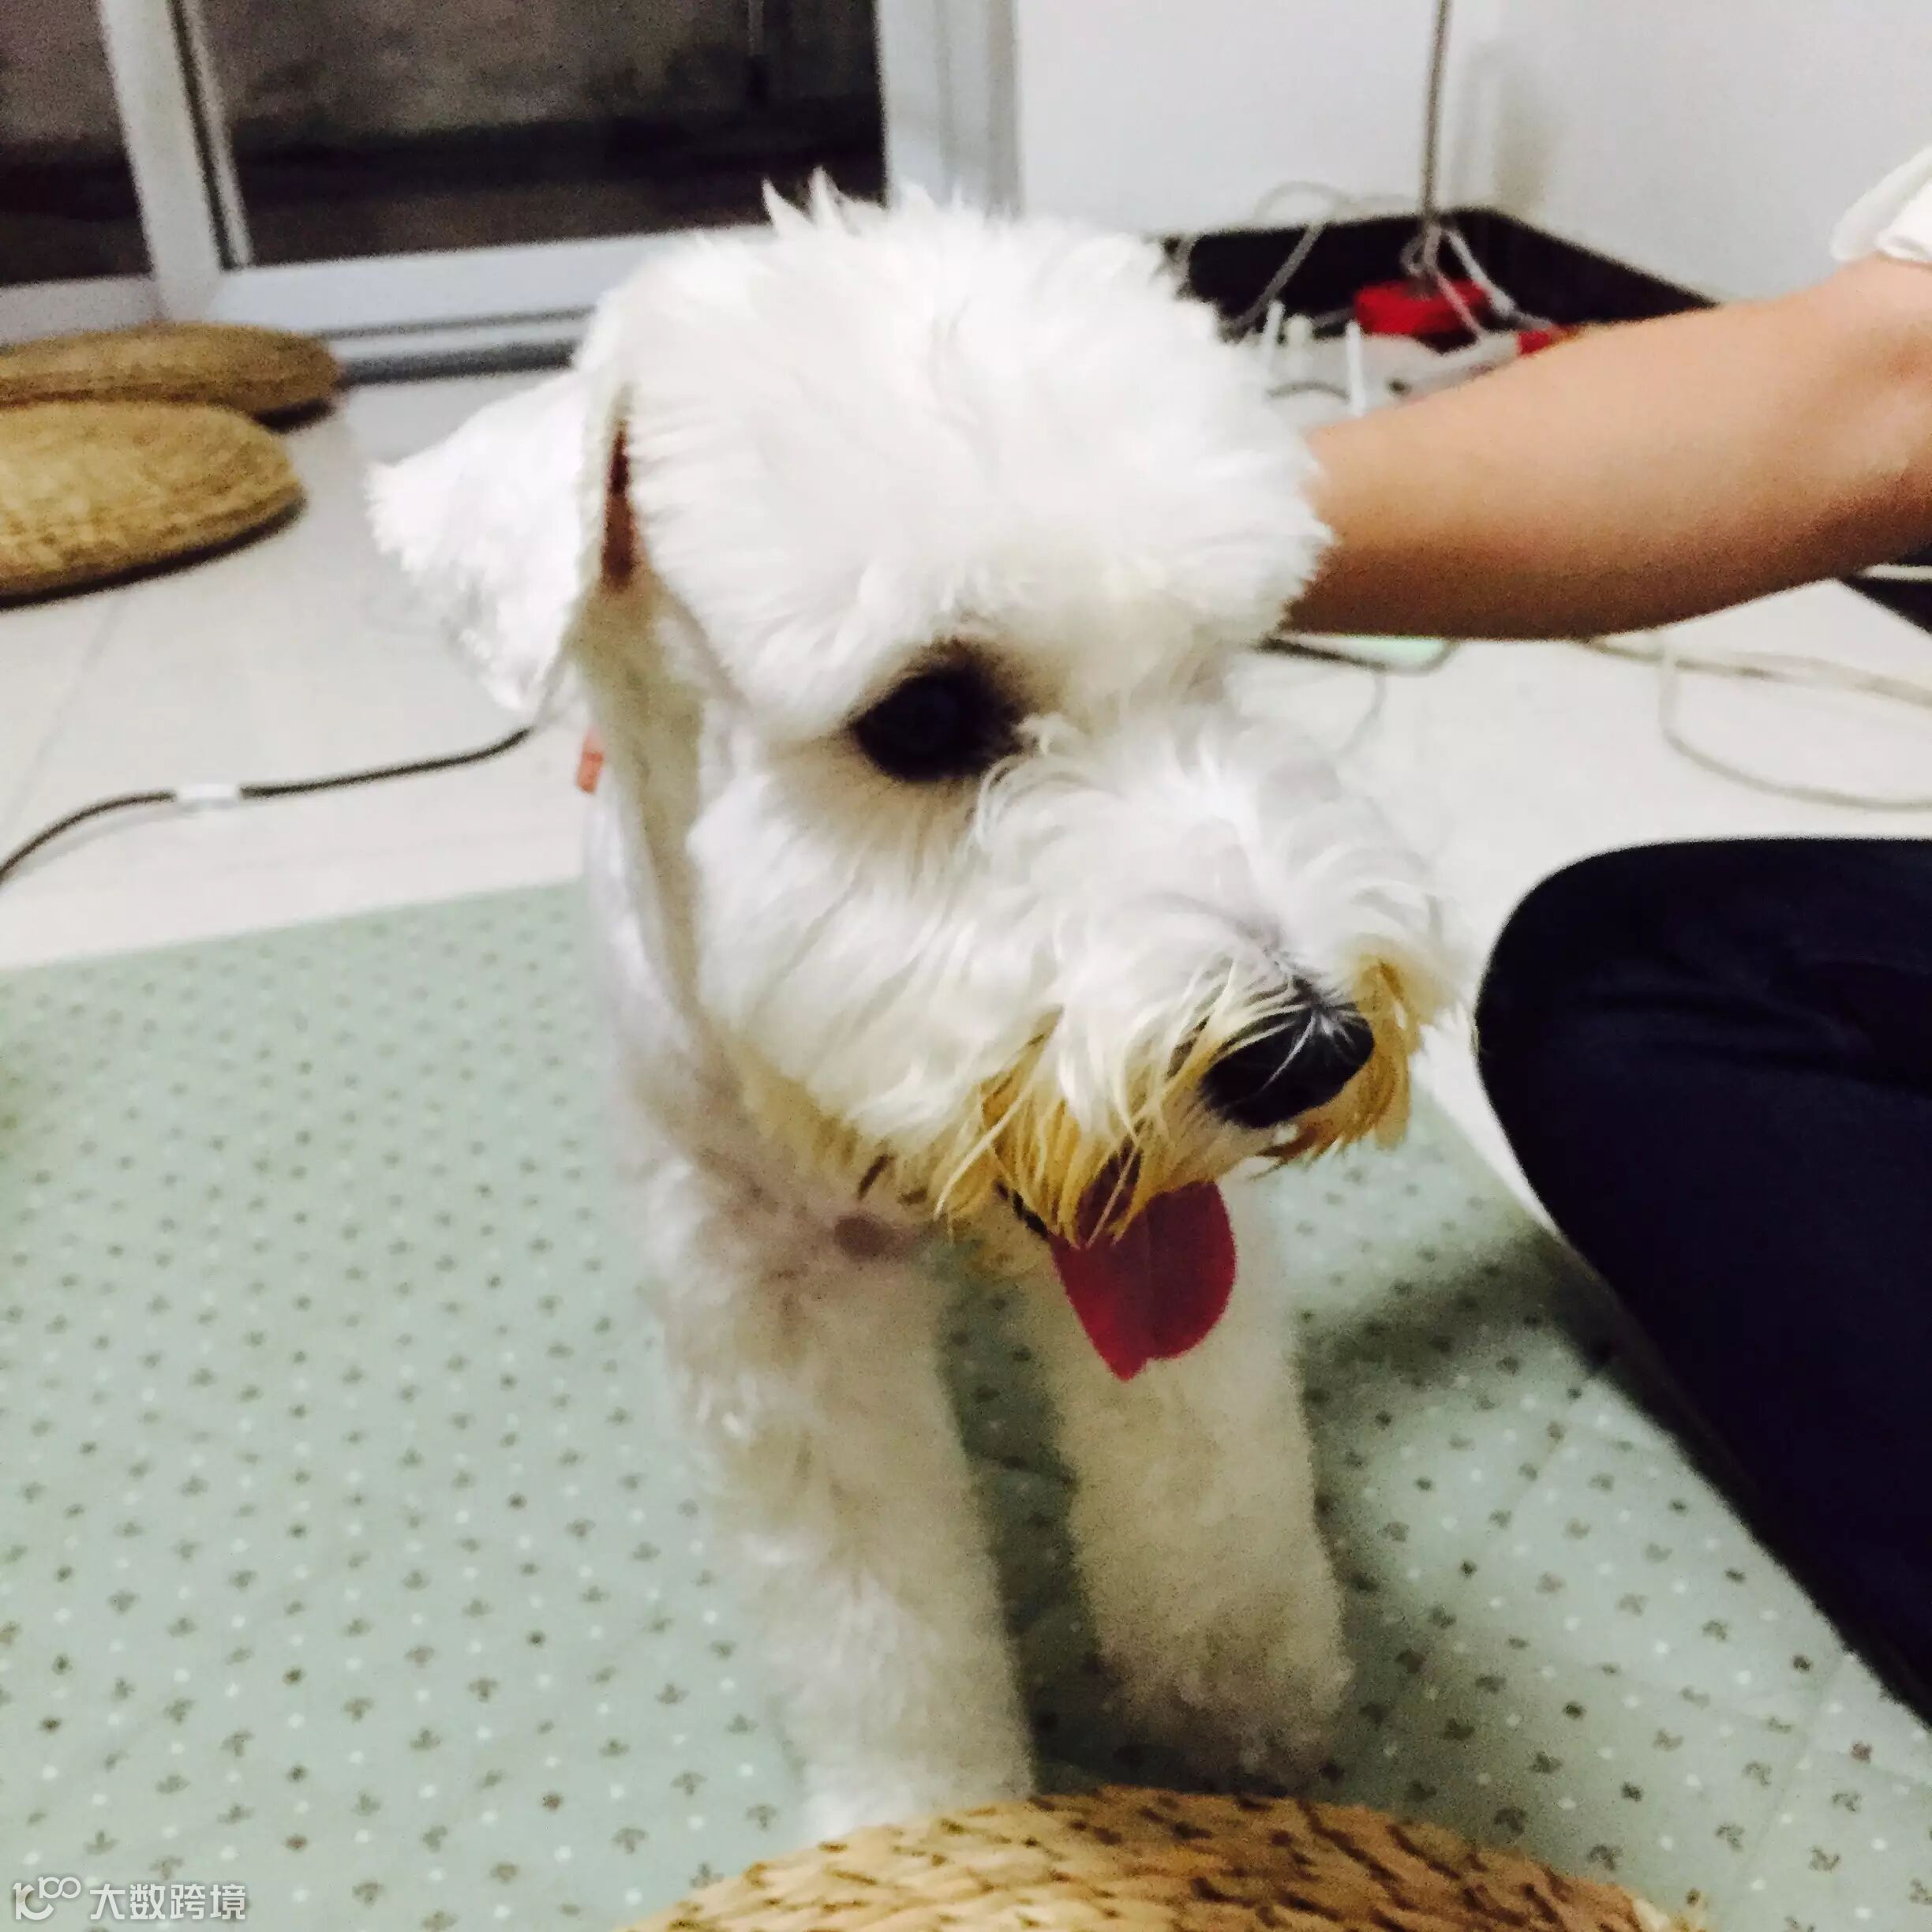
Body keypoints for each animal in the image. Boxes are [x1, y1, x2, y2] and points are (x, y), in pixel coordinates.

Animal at [372, 183, 1453, 1839]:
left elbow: (1206, 1472)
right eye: (925, 715)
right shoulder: (770, 1294)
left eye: (1222, 664)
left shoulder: (1161, 1229)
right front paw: (923, 1822)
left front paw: (1238, 1698)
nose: (1310, 1046)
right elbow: (871, 1610)